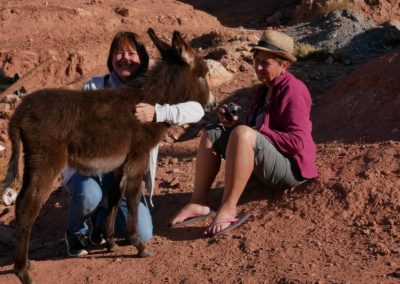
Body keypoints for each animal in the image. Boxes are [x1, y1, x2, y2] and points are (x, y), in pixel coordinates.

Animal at [0, 29, 212, 284]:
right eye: (204, 74)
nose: (211, 104)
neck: (149, 101)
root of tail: (20, 112)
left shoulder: (119, 164)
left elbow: (113, 196)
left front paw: (110, 242)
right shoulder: (138, 156)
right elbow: (132, 197)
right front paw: (138, 245)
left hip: (34, 161)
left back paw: (27, 263)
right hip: (47, 160)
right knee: (27, 206)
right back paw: (22, 271)